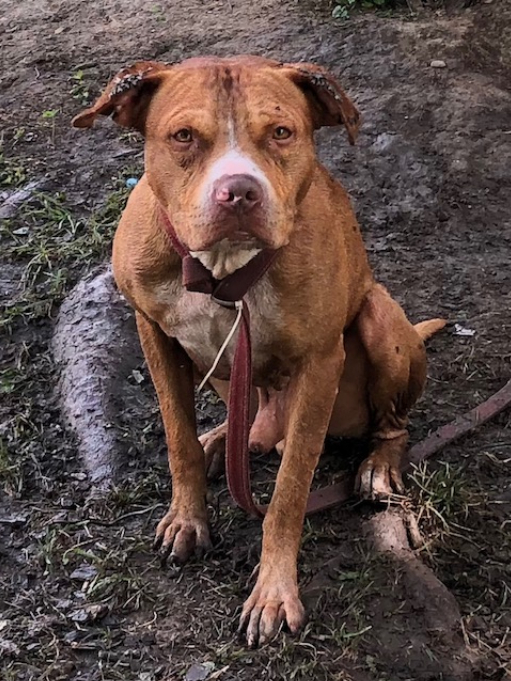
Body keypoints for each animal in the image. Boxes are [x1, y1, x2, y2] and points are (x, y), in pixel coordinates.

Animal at [74, 55, 446, 644]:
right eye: (183, 136)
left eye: (281, 133)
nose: (239, 192)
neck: (224, 268)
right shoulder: (151, 330)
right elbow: (177, 438)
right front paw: (188, 518)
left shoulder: (321, 364)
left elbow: (290, 491)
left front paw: (273, 591)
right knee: (238, 420)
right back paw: (221, 438)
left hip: (379, 318)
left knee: (392, 425)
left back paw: (378, 467)